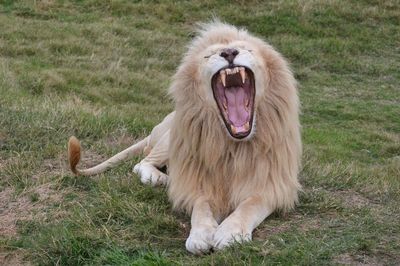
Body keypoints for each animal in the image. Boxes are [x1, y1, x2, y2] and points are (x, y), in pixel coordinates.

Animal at [68, 21, 300, 255]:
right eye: (208, 55)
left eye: (247, 50)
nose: (229, 52)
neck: (233, 146)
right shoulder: (198, 182)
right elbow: (201, 206)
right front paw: (200, 235)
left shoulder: (275, 185)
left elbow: (250, 204)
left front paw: (230, 233)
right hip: (171, 139)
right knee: (142, 162)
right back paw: (161, 179)